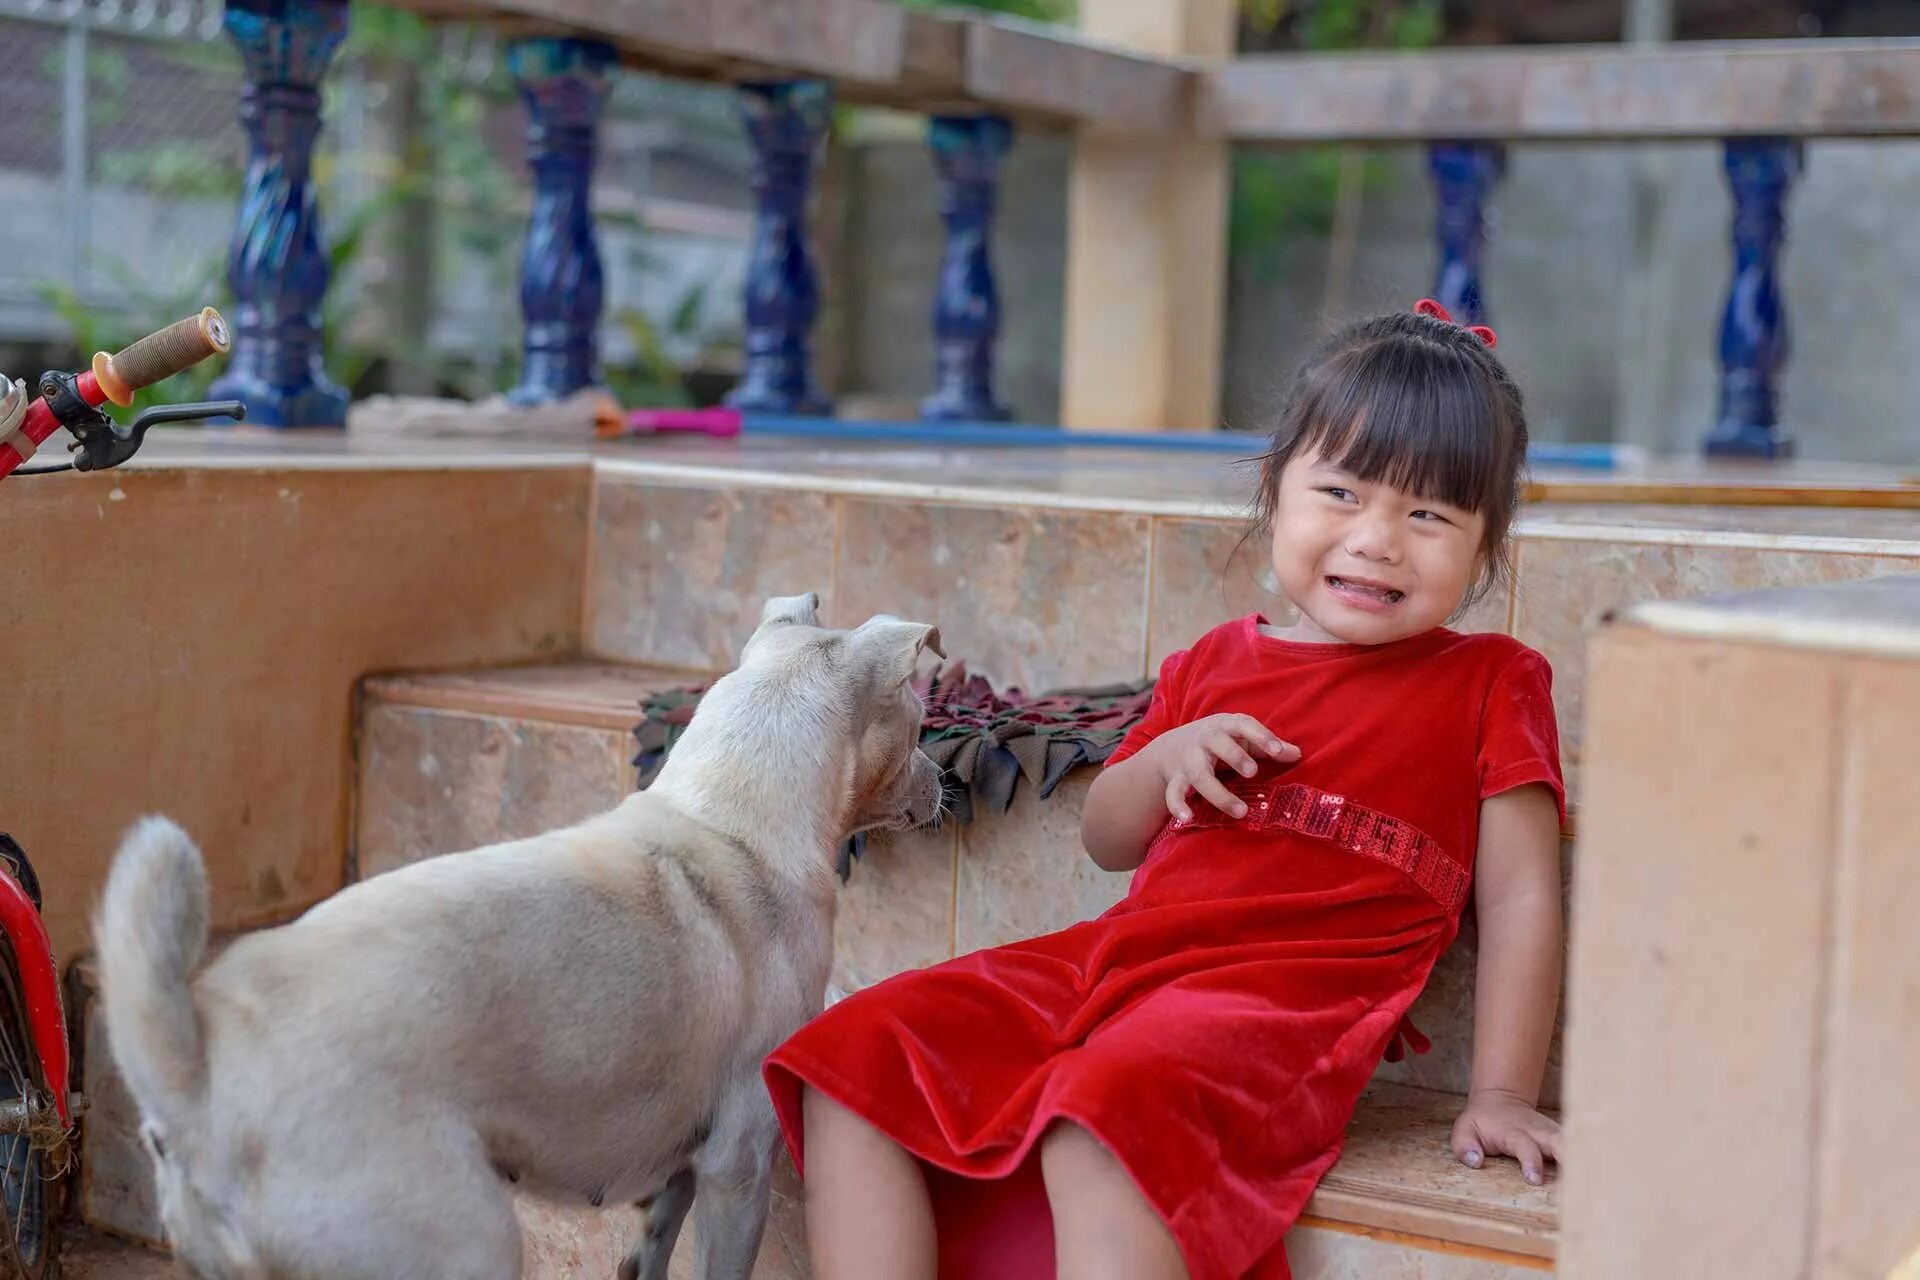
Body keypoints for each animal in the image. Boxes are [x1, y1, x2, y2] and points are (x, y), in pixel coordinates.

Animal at [93, 594, 948, 1274]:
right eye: (920, 723)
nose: (943, 779)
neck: (729, 815)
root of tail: (199, 1073)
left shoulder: (674, 1181)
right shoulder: (738, 1168)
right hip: (465, 1240)